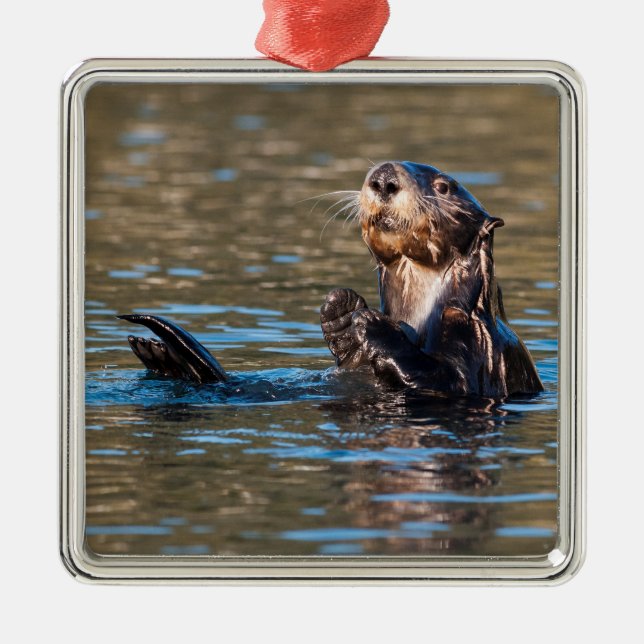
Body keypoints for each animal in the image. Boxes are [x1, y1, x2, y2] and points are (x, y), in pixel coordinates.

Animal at [119, 161, 542, 398]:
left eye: (444, 186)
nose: (383, 178)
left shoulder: (478, 345)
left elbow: (447, 380)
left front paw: (372, 325)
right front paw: (341, 310)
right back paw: (159, 356)